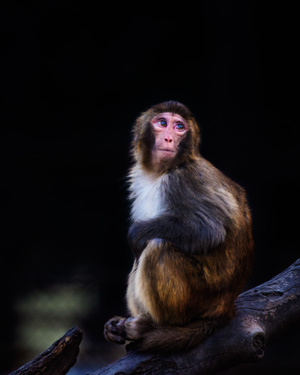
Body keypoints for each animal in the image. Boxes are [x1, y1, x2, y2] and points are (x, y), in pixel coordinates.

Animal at [103, 101, 253, 354]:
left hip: (200, 298)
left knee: (157, 247)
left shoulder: (184, 180)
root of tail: (224, 308)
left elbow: (208, 231)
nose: (169, 138)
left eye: (179, 127)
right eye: (162, 123)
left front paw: (135, 234)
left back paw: (157, 327)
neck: (162, 172)